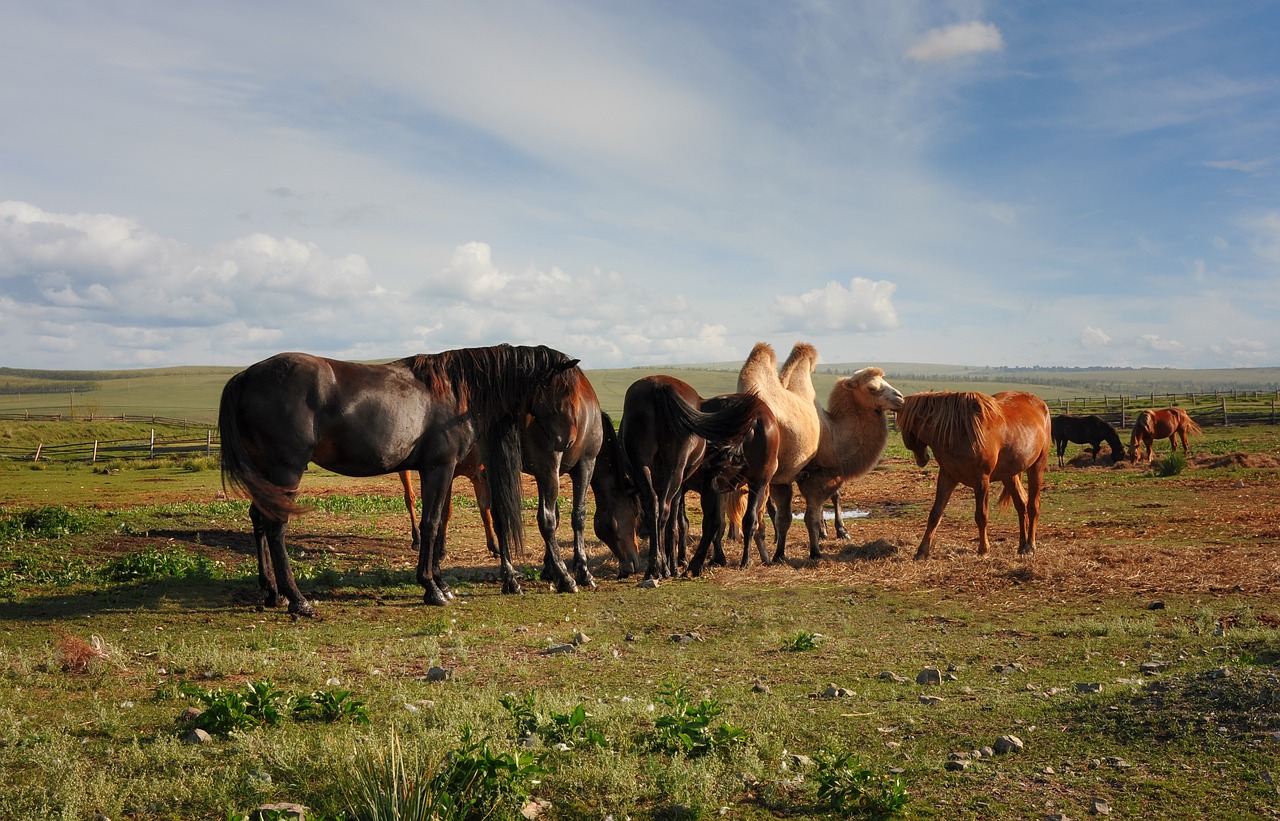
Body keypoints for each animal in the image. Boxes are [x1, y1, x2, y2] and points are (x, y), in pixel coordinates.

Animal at [220, 343, 581, 612]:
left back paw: (272, 592)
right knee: (276, 526)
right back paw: (297, 599)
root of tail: (244, 376)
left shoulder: (436, 471)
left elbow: (436, 521)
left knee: (259, 519)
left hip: (267, 473)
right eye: (563, 391)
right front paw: (432, 588)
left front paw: (440, 582)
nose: (569, 442)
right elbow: (431, 523)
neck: (456, 390)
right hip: (286, 471)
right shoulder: (440, 467)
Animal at [616, 373, 757, 578]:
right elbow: (678, 523)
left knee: (655, 507)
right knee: (666, 510)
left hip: (644, 466)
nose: (642, 532)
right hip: (676, 469)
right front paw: (676, 563)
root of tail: (658, 387)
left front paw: (673, 561)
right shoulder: (682, 486)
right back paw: (664, 567)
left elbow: (675, 523)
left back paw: (654, 567)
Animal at [896, 389, 1054, 558]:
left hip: (1037, 467)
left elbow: (981, 516)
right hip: (1009, 474)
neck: (959, 431)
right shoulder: (947, 476)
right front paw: (922, 551)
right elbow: (935, 514)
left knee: (1033, 506)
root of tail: (1041, 404)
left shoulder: (981, 480)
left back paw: (1030, 546)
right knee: (1021, 504)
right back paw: (1022, 546)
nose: (923, 459)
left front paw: (983, 549)